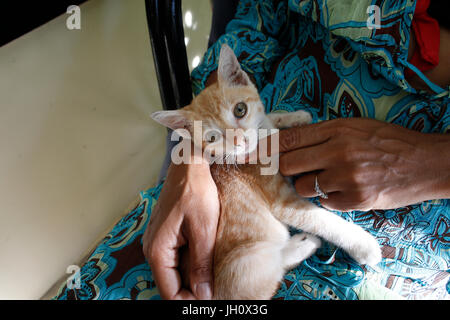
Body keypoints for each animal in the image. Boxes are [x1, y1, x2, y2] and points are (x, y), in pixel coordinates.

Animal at [151, 43, 380, 298]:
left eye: (240, 110)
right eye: (211, 138)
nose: (239, 141)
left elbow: (269, 120)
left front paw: (294, 117)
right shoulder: (281, 201)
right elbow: (321, 219)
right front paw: (363, 245)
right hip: (248, 258)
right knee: (276, 266)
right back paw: (305, 243)